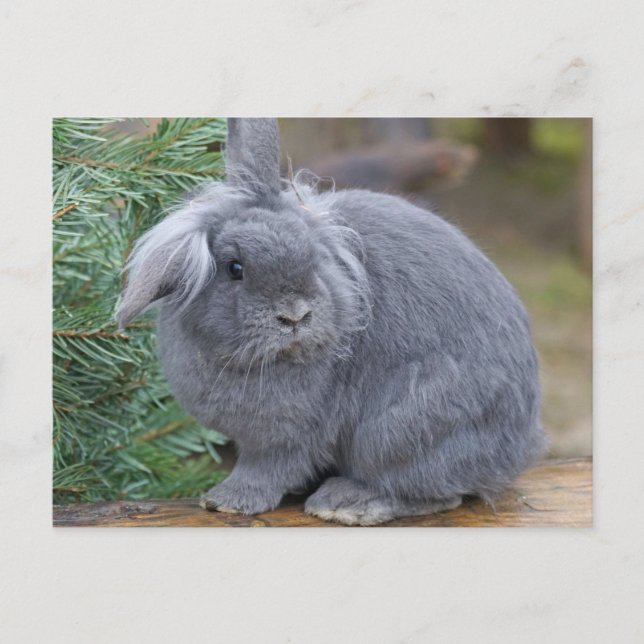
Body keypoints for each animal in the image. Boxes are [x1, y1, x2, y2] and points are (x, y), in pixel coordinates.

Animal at [116, 118, 547, 525]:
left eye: (314, 258)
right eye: (235, 268)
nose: (295, 315)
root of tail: (518, 446)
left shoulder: (285, 437)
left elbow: (267, 469)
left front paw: (226, 501)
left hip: (400, 430)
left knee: (434, 493)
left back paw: (347, 504)